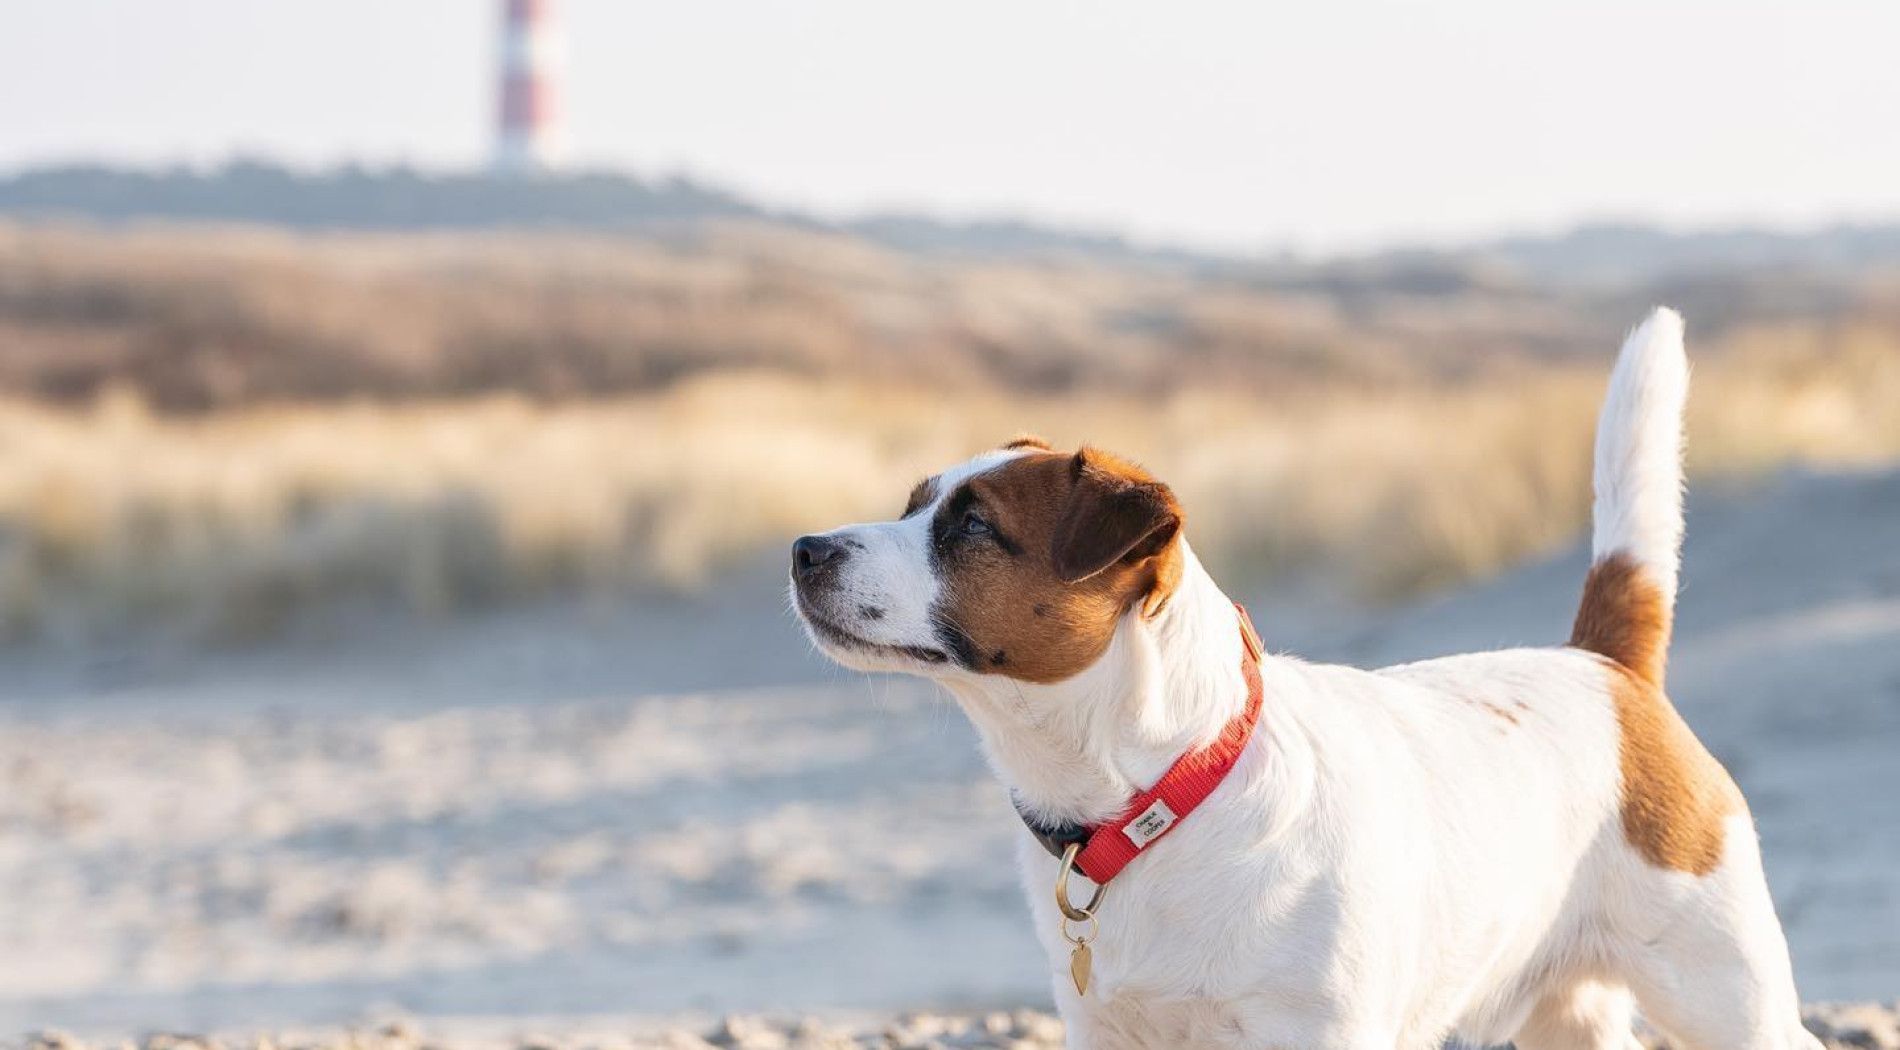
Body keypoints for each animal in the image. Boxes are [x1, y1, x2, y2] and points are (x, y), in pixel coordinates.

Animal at [782, 309, 1808, 1048]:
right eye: (913, 504)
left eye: (972, 527)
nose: (802, 549)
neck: (1160, 794)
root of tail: (1604, 665)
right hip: (1563, 1014)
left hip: (1725, 992)